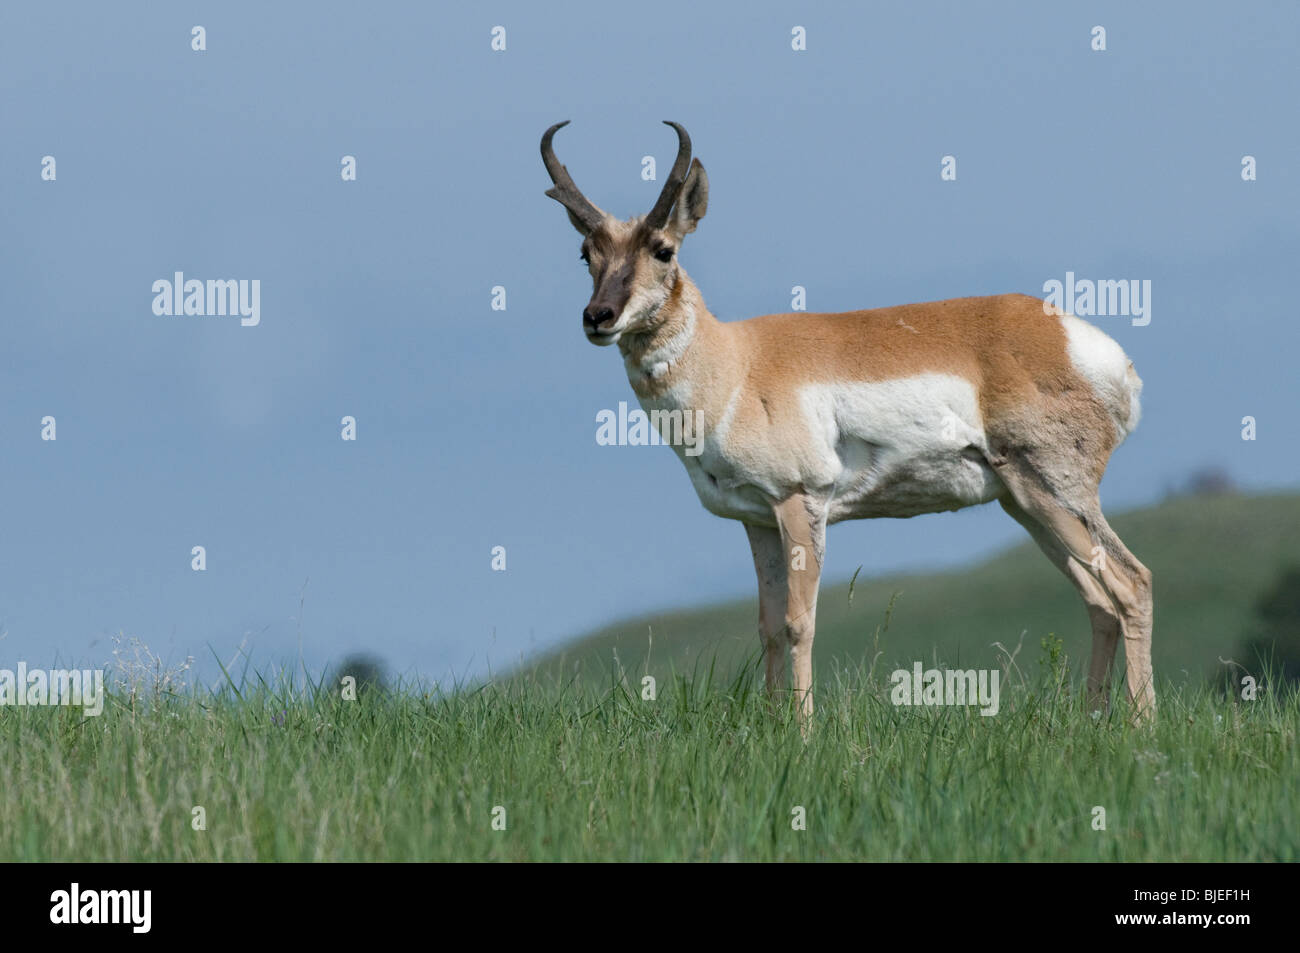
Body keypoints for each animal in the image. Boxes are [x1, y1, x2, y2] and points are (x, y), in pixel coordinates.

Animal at [543, 122, 1154, 722]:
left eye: (664, 249)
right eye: (585, 252)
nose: (598, 317)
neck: (737, 362)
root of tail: (1090, 348)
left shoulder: (800, 503)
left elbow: (799, 623)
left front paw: (803, 732)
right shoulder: (756, 520)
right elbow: (767, 627)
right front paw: (772, 725)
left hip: (1056, 494)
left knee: (1132, 584)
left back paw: (1139, 724)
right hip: (1025, 505)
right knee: (1098, 601)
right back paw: (1091, 720)